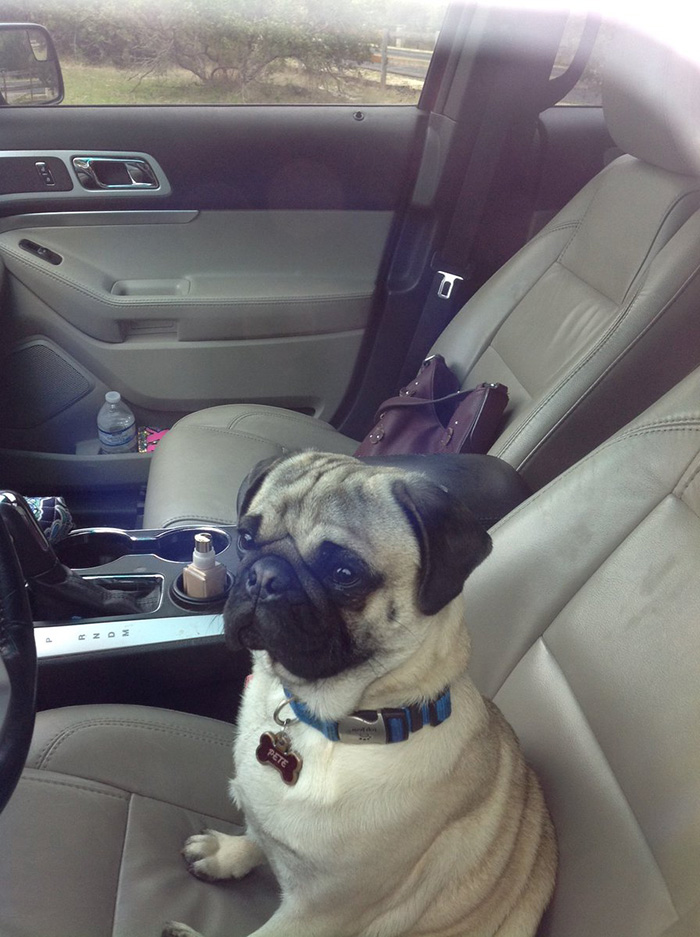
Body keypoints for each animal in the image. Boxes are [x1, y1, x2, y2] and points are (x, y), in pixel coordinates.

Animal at [163, 450, 552, 932]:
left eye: (344, 573)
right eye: (246, 538)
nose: (264, 575)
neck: (331, 719)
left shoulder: (318, 914)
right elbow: (257, 834)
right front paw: (227, 853)